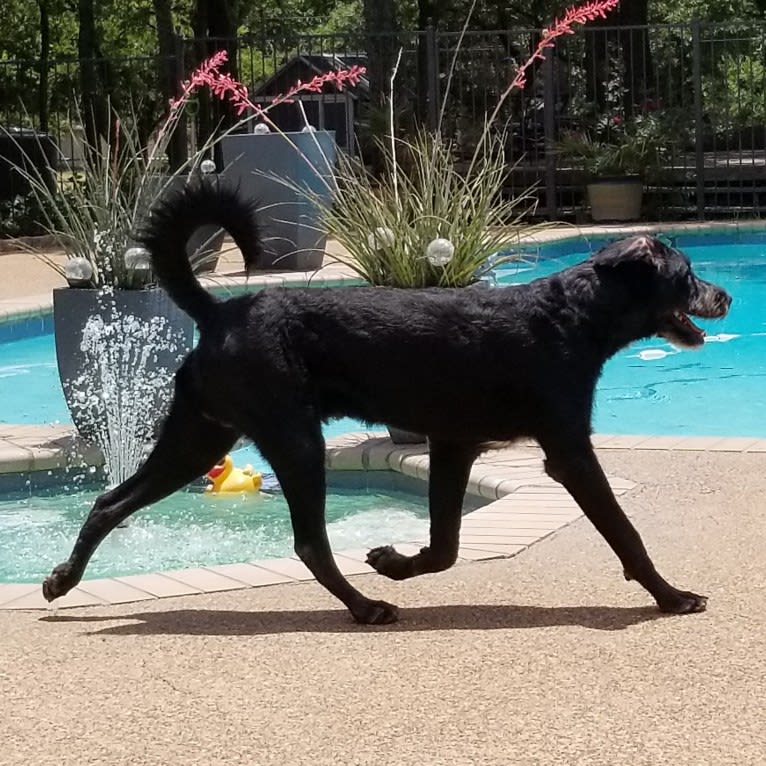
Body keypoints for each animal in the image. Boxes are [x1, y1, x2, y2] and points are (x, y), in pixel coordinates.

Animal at [43, 184, 732, 624]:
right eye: (687, 275)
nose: (723, 296)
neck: (573, 314)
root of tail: (221, 312)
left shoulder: (454, 445)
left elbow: (447, 544)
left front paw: (395, 560)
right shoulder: (567, 450)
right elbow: (623, 530)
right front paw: (671, 597)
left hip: (199, 435)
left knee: (109, 502)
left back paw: (62, 580)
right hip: (294, 440)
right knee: (309, 543)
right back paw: (365, 607)